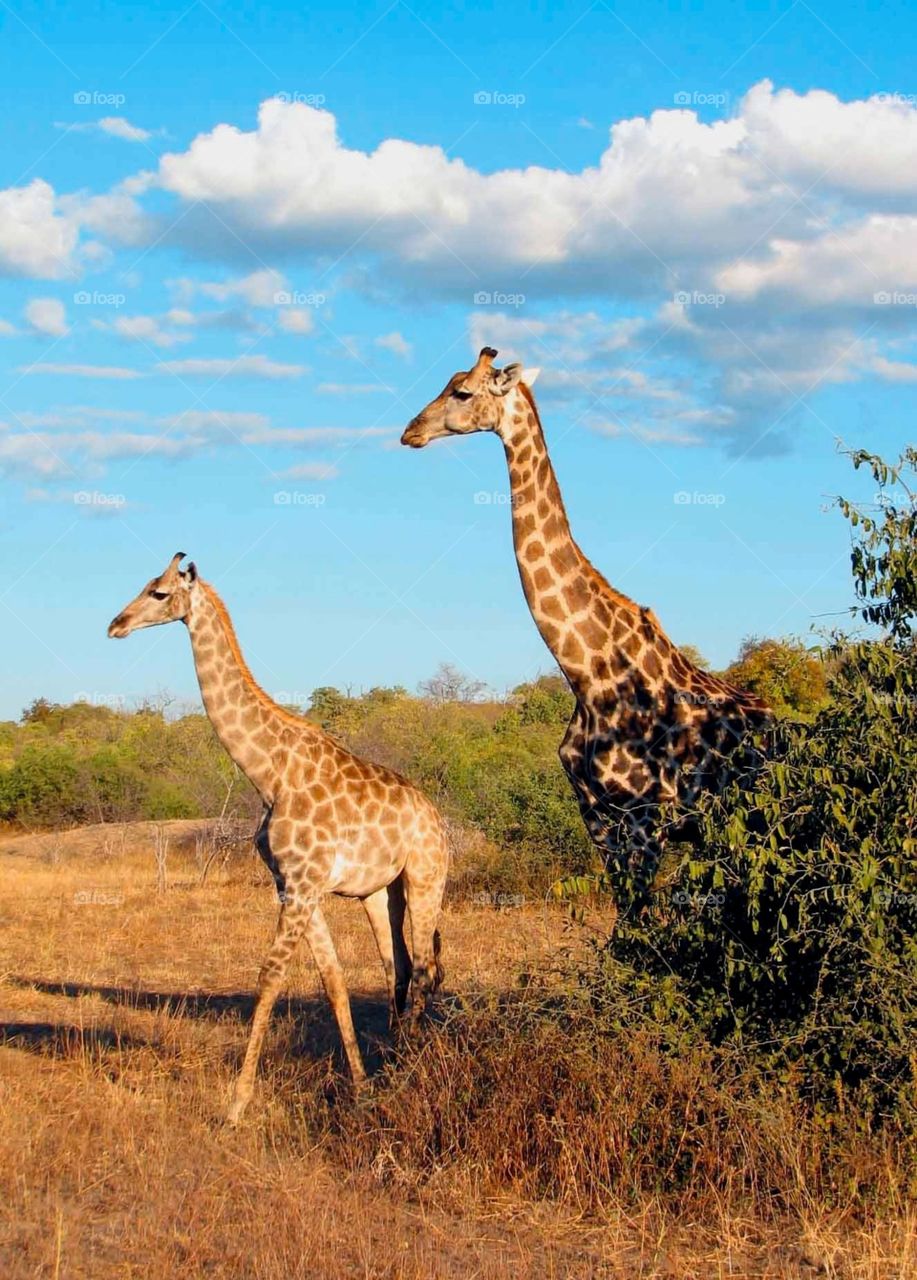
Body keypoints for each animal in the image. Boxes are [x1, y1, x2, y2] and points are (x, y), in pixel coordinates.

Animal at [108, 552, 448, 1124]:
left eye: (158, 593)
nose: (116, 625)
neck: (268, 772)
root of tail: (440, 821)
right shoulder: (291, 884)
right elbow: (333, 979)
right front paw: (361, 1085)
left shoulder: (304, 884)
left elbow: (269, 977)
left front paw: (235, 1105)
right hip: (381, 891)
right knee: (397, 967)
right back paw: (397, 1060)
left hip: (427, 879)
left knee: (423, 967)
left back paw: (416, 1068)